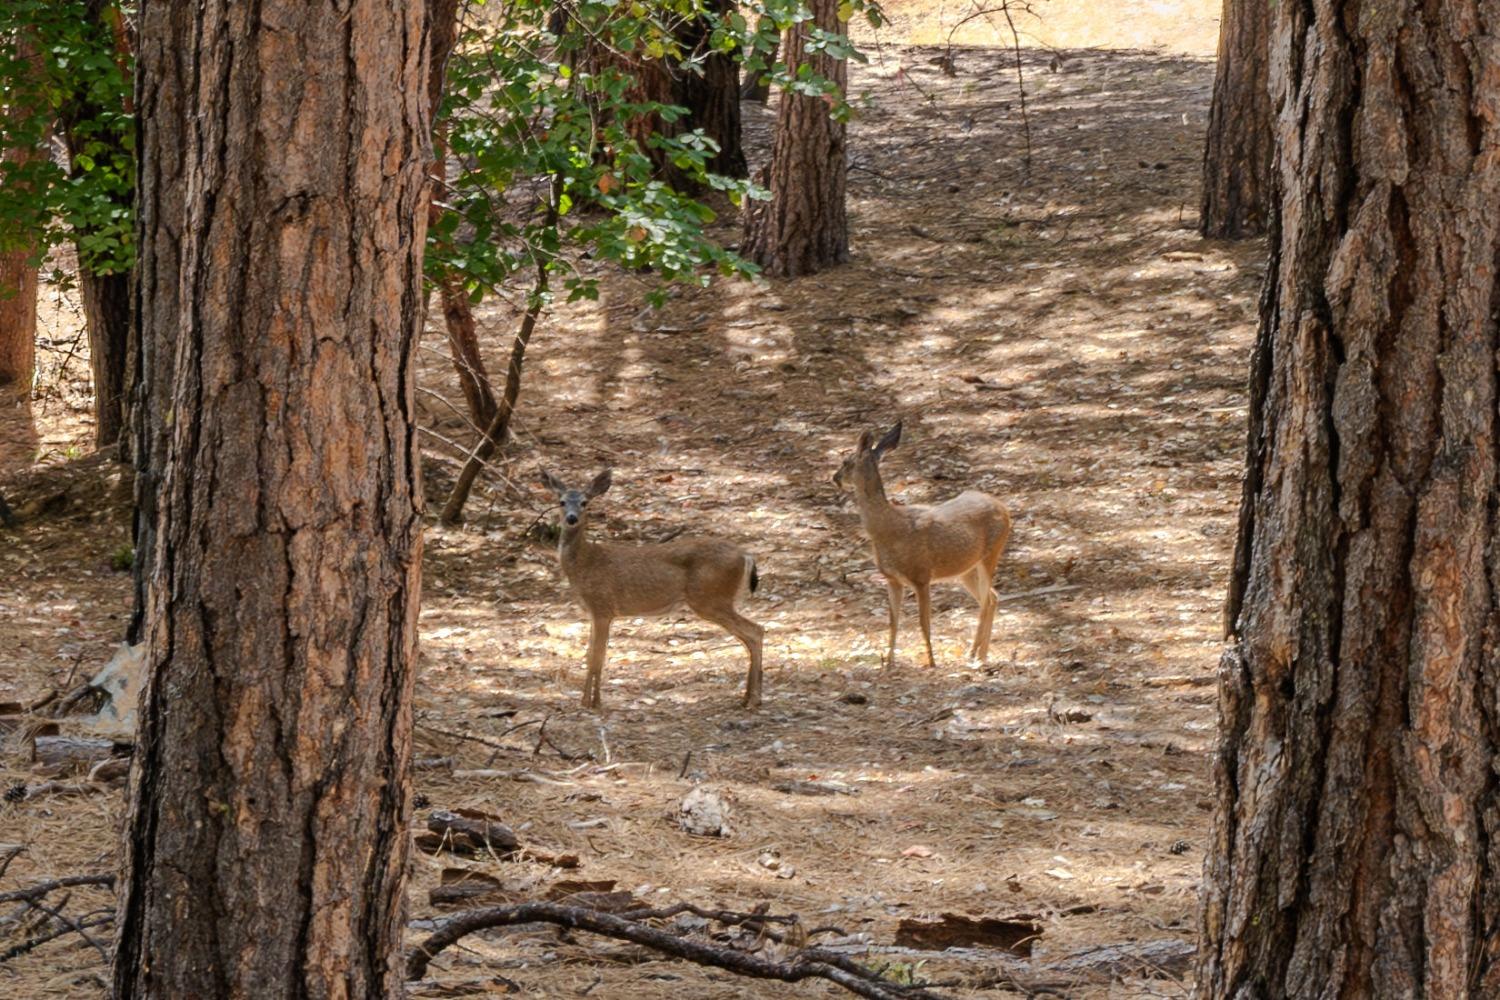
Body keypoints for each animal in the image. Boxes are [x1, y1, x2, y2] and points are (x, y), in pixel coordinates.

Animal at [537, 470, 762, 710]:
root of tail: (746, 556)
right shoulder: (593, 612)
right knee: (751, 635)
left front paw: (593, 703)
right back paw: (748, 697)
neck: (585, 563)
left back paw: (754, 699)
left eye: (584, 502)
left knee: (756, 631)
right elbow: (590, 655)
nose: (572, 518)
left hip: (711, 598)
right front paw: (585, 701)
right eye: (561, 502)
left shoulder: (603, 607)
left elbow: (597, 658)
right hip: (716, 600)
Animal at [828, 419, 1014, 668]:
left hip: (991, 553)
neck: (887, 527)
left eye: (846, 462)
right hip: (966, 569)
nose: (835, 478)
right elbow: (893, 622)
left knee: (986, 601)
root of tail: (1004, 509)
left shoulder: (921, 575)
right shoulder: (892, 579)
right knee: (992, 597)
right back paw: (981, 655)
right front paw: (888, 663)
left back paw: (974, 656)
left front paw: (931, 663)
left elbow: (923, 623)